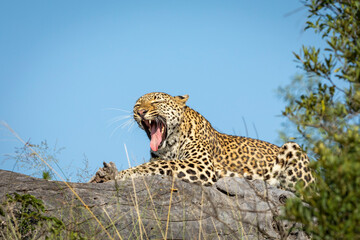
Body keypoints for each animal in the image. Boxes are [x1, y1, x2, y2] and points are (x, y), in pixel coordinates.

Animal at [114, 92, 312, 191]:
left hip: (294, 148)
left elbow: (157, 166)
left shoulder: (201, 165)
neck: (170, 145)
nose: (140, 112)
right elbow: (157, 163)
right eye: (137, 105)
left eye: (157, 101)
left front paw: (120, 174)